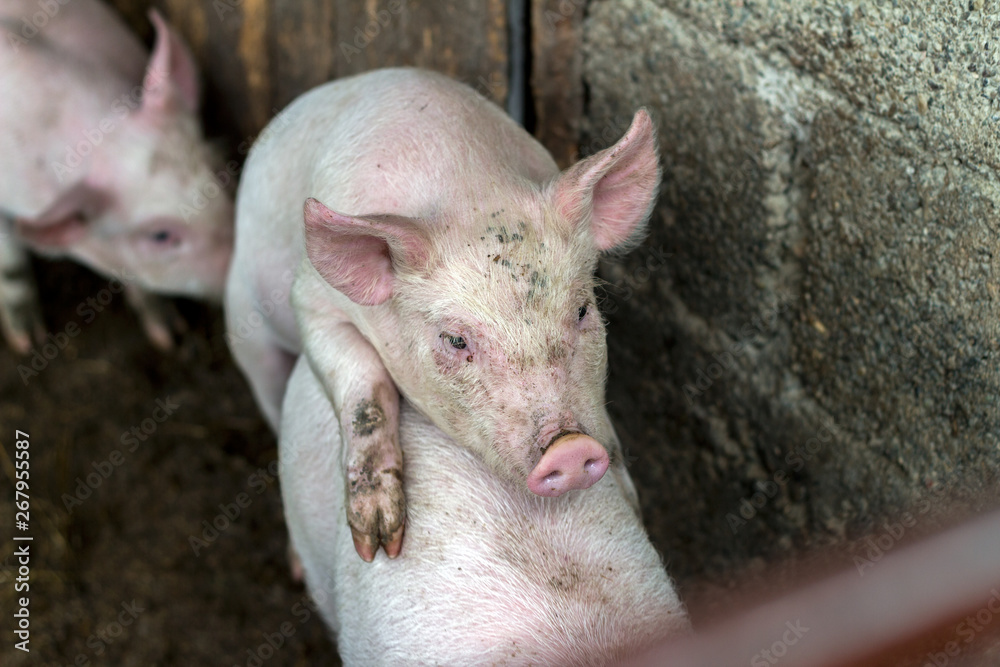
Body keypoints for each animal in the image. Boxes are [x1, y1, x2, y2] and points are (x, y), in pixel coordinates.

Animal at [225, 68, 659, 561]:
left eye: (583, 310)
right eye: (456, 340)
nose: (570, 450)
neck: (464, 183)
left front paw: (630, 502)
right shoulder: (311, 301)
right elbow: (364, 391)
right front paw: (379, 544)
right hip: (244, 328)